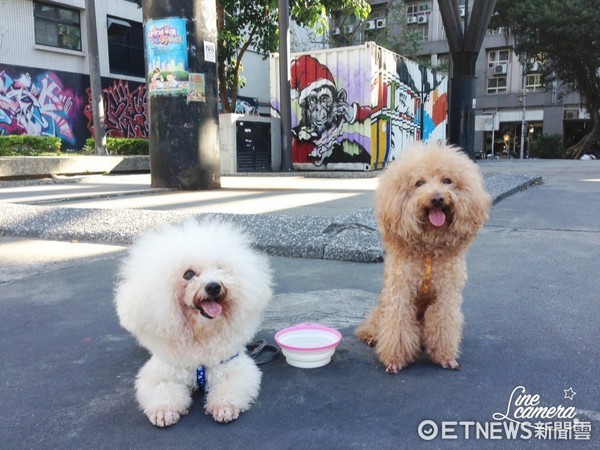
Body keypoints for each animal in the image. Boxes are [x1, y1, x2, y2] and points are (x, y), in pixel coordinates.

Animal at [114, 220, 272, 428]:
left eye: (220, 268)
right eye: (188, 274)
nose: (214, 286)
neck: (201, 336)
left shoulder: (234, 367)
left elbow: (230, 388)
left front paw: (223, 407)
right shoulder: (161, 373)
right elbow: (162, 389)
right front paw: (164, 411)